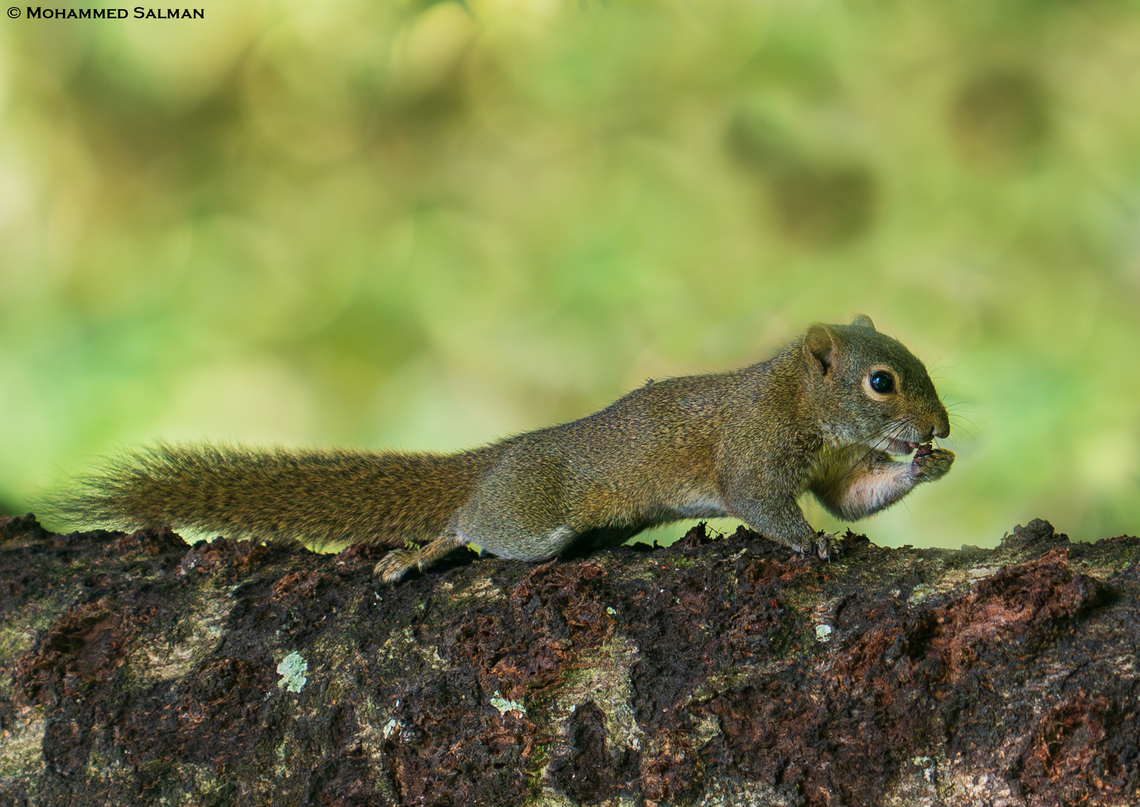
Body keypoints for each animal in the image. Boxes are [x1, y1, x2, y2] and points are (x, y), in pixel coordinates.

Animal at [53, 316, 953, 583]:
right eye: (881, 382)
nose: (940, 427)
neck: (794, 396)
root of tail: (498, 455)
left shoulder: (827, 466)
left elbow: (848, 495)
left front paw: (923, 468)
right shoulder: (753, 447)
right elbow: (764, 502)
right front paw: (811, 543)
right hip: (530, 516)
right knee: (474, 523)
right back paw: (424, 551)